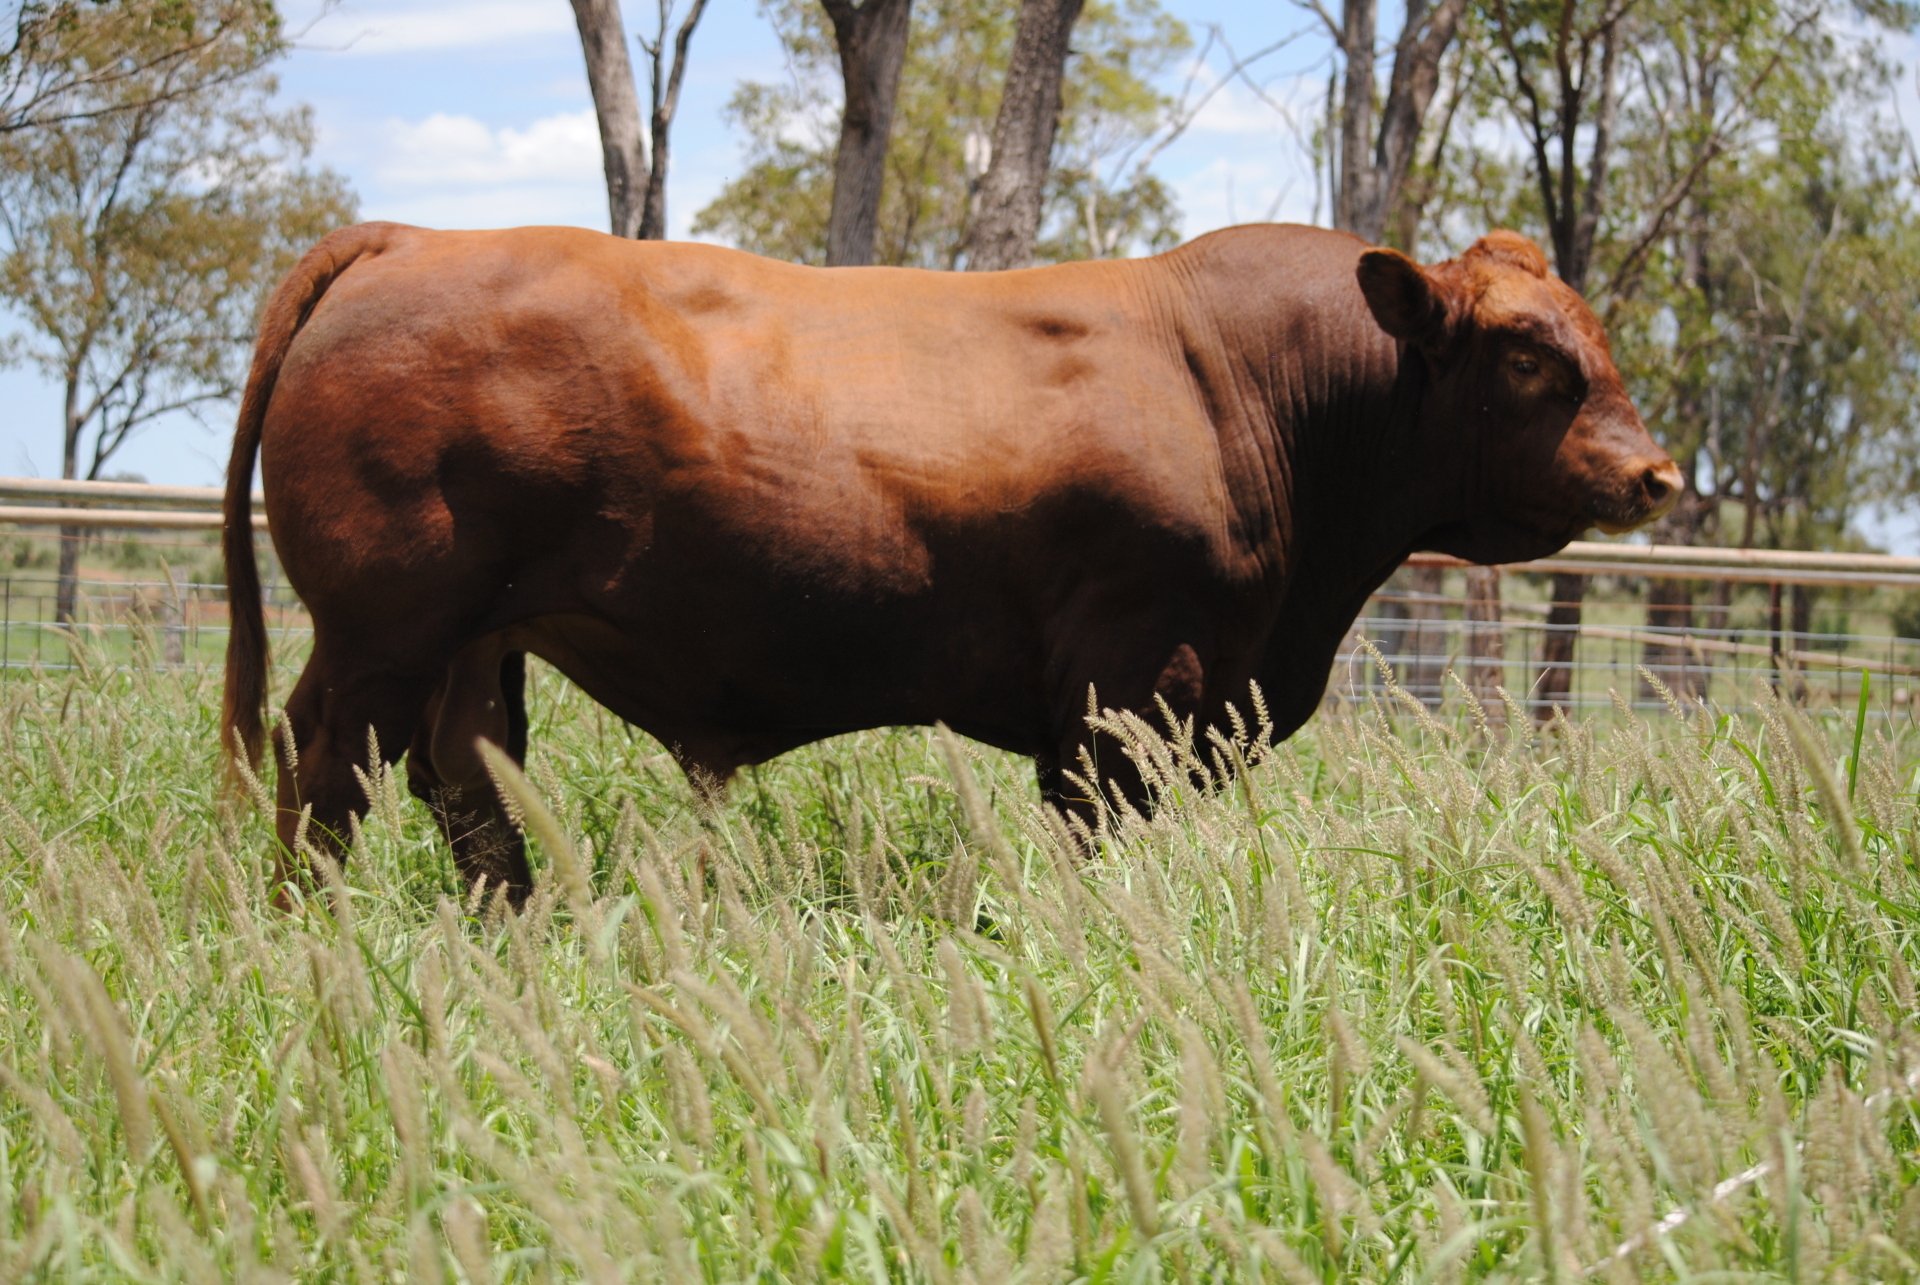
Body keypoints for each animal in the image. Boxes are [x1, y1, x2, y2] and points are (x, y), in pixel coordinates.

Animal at [222, 221, 1681, 905]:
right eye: (1529, 356)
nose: (1656, 473)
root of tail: (417, 239)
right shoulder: (1131, 684)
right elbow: (1100, 839)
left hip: (475, 639)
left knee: (462, 777)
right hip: (380, 629)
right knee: (325, 769)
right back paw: (309, 933)